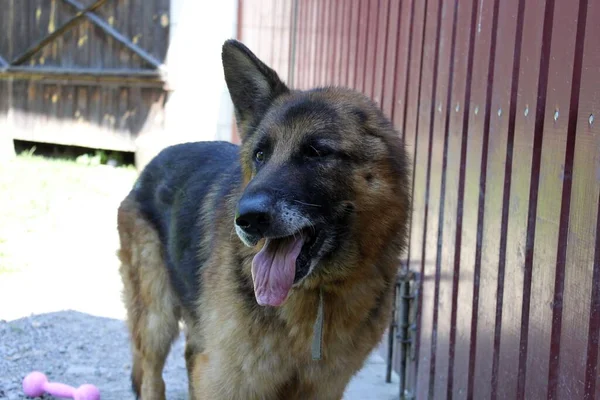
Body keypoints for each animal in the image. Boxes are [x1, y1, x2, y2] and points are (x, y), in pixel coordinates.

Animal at [116, 38, 412, 400]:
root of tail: (152, 163)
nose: (247, 219)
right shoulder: (226, 381)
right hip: (156, 318)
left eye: (316, 152)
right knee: (151, 378)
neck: (318, 294)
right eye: (260, 155)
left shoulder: (323, 388)